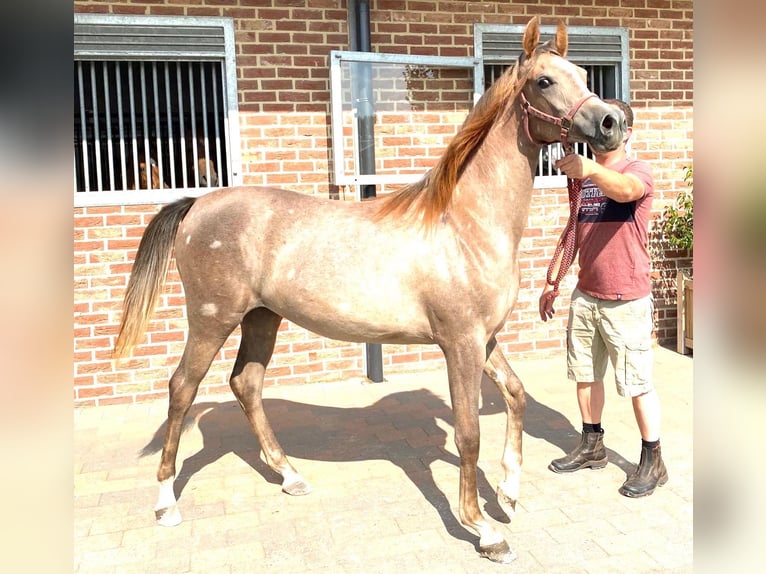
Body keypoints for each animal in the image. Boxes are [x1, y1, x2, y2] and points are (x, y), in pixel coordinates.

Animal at [115, 19, 632, 568]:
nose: (612, 123)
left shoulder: (484, 339)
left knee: (246, 384)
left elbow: (515, 396)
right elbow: (468, 433)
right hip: (212, 318)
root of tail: (197, 204)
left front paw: (509, 492)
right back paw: (166, 503)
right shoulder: (460, 344)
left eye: (582, 75)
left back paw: (291, 476)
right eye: (544, 81)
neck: (464, 223)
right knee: (182, 390)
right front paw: (484, 529)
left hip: (262, 318)